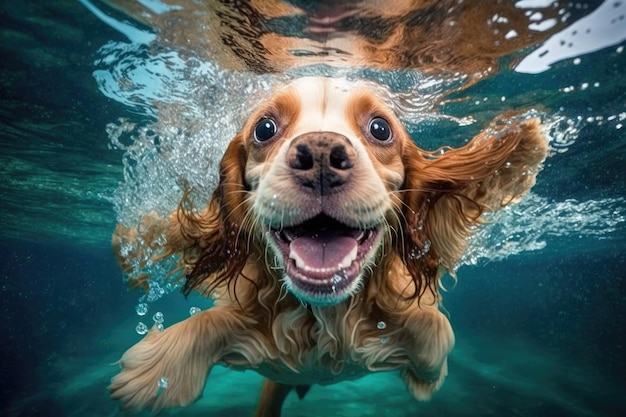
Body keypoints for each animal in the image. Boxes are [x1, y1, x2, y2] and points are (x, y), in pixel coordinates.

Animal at [108, 76, 544, 414]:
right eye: (264, 128)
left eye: (380, 128)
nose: (319, 153)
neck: (323, 317)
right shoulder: (259, 332)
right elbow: (209, 321)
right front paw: (155, 370)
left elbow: (434, 330)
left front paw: (424, 376)